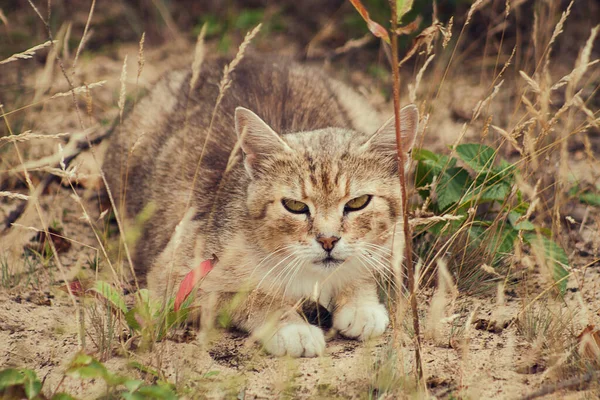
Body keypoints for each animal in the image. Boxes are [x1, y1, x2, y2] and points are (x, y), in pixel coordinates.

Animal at [103, 53, 418, 356]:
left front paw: (360, 303)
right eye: (294, 206)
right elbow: (250, 296)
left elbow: (364, 266)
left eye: (358, 202)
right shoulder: (174, 279)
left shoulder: (391, 239)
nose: (328, 240)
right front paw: (291, 327)